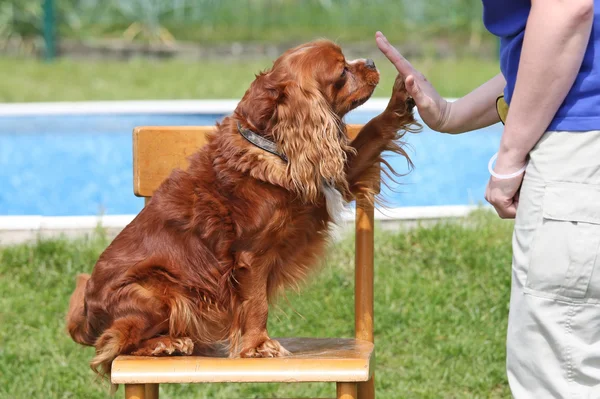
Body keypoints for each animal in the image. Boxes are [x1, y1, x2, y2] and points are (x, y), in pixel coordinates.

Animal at [64, 39, 412, 378]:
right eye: (342, 71)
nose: (371, 61)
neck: (270, 143)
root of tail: (86, 317)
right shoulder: (251, 255)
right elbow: (257, 303)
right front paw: (258, 345)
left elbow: (374, 130)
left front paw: (401, 97)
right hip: (161, 292)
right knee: (114, 344)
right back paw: (165, 344)